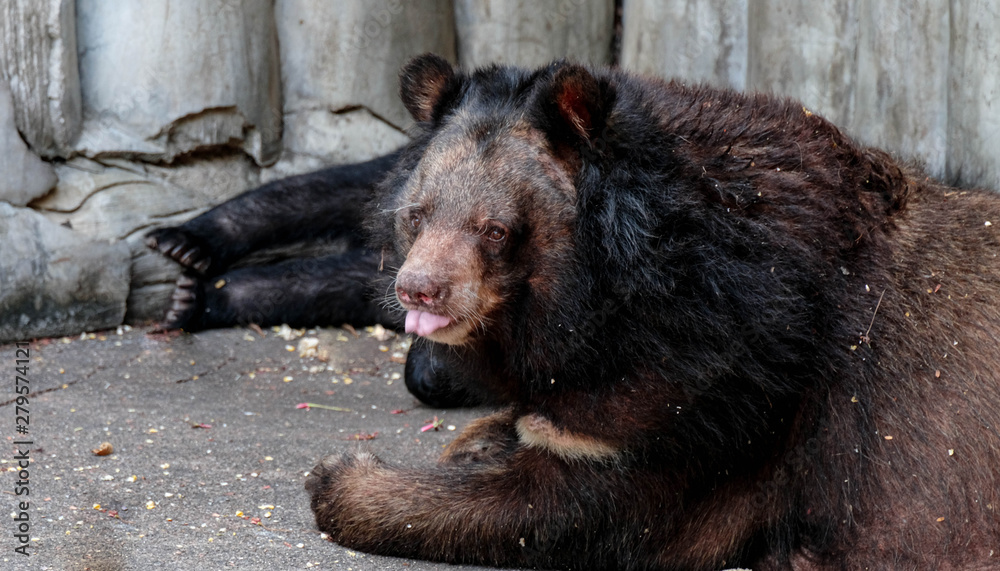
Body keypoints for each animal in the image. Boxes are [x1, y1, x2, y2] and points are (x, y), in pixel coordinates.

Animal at [299, 54, 1000, 570]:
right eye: (416, 215)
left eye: (494, 230)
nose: (418, 290)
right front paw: (478, 442)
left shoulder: (726, 379)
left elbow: (574, 509)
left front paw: (341, 477)